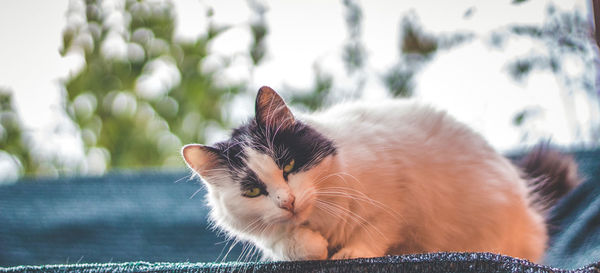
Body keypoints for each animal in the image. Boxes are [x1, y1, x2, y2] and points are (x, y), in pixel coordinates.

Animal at [180, 86, 580, 262]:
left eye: (288, 166)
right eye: (252, 192)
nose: (288, 202)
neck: (321, 220)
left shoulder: (397, 199)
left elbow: (372, 232)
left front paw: (347, 255)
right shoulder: (269, 238)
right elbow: (293, 243)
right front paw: (316, 247)